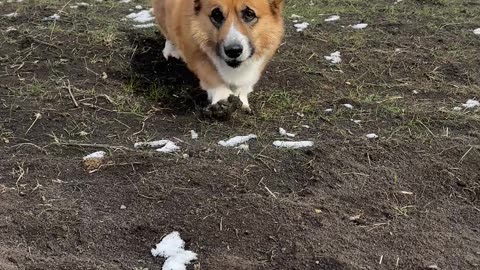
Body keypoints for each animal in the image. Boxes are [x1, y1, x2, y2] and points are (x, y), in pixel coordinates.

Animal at [152, 0, 284, 116]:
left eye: (249, 14)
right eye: (216, 14)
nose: (233, 51)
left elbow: (245, 82)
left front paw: (242, 99)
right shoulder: (197, 52)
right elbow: (211, 76)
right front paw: (222, 99)